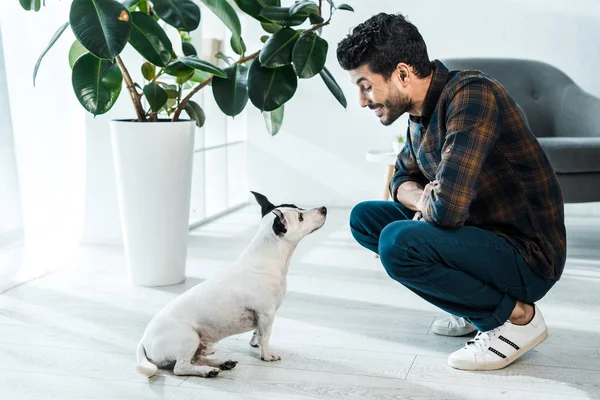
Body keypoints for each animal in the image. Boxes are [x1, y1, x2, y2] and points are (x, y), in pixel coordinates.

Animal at [135, 192, 326, 376]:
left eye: (298, 207)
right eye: (301, 217)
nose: (324, 208)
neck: (267, 257)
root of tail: (144, 340)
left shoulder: (262, 316)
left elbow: (257, 333)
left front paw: (254, 343)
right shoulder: (266, 313)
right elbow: (266, 336)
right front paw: (266, 355)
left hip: (197, 344)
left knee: (196, 359)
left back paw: (221, 363)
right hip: (188, 338)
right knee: (181, 367)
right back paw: (208, 371)